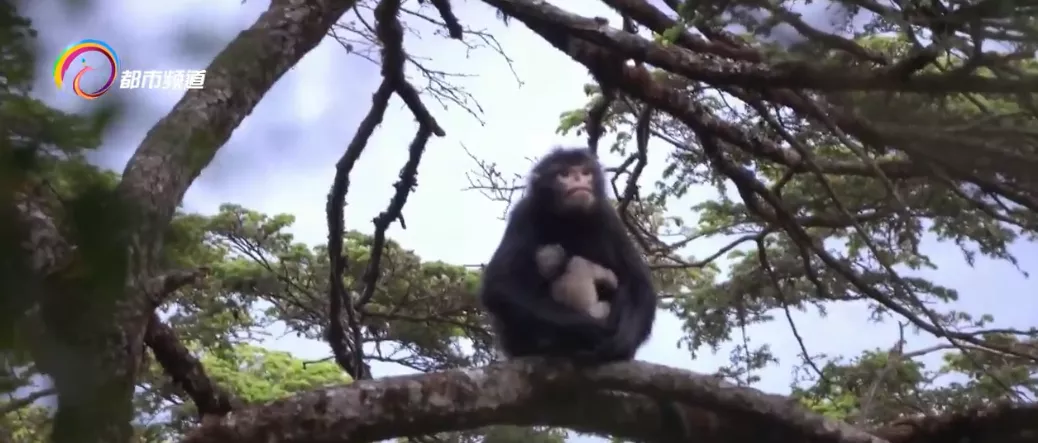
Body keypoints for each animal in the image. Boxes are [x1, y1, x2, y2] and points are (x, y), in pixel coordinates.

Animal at [475, 147, 651, 365]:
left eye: (585, 173)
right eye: (564, 174)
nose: (578, 178)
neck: (569, 219)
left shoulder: (607, 216)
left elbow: (640, 287)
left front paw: (621, 342)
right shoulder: (524, 213)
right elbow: (499, 286)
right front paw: (597, 331)